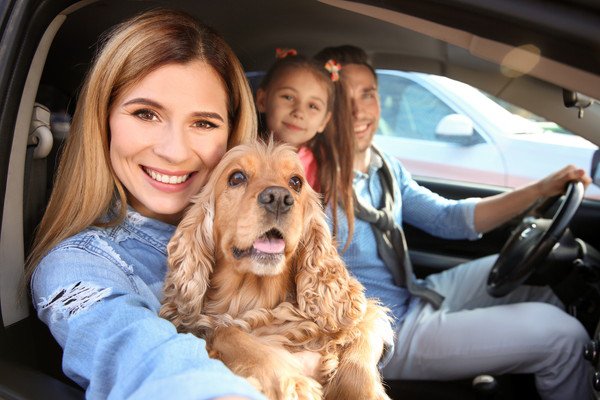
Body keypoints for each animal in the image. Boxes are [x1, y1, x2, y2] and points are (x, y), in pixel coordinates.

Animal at [161, 141, 394, 400]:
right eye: (236, 177)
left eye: (296, 182)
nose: (279, 198)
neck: (255, 294)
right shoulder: (211, 327)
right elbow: (228, 332)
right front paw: (293, 382)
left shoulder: (365, 315)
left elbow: (359, 344)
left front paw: (361, 392)